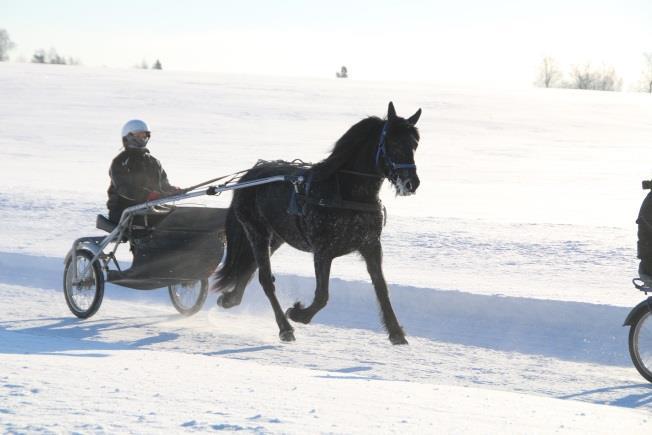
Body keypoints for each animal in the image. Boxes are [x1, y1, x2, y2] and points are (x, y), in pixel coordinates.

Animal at [211, 102, 420, 344]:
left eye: (415, 144)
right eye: (392, 143)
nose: (411, 183)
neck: (346, 192)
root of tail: (249, 175)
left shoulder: (371, 246)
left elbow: (382, 288)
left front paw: (396, 332)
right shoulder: (322, 250)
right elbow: (322, 296)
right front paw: (298, 313)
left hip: (276, 238)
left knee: (250, 267)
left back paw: (230, 299)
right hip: (257, 232)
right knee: (265, 279)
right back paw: (284, 327)